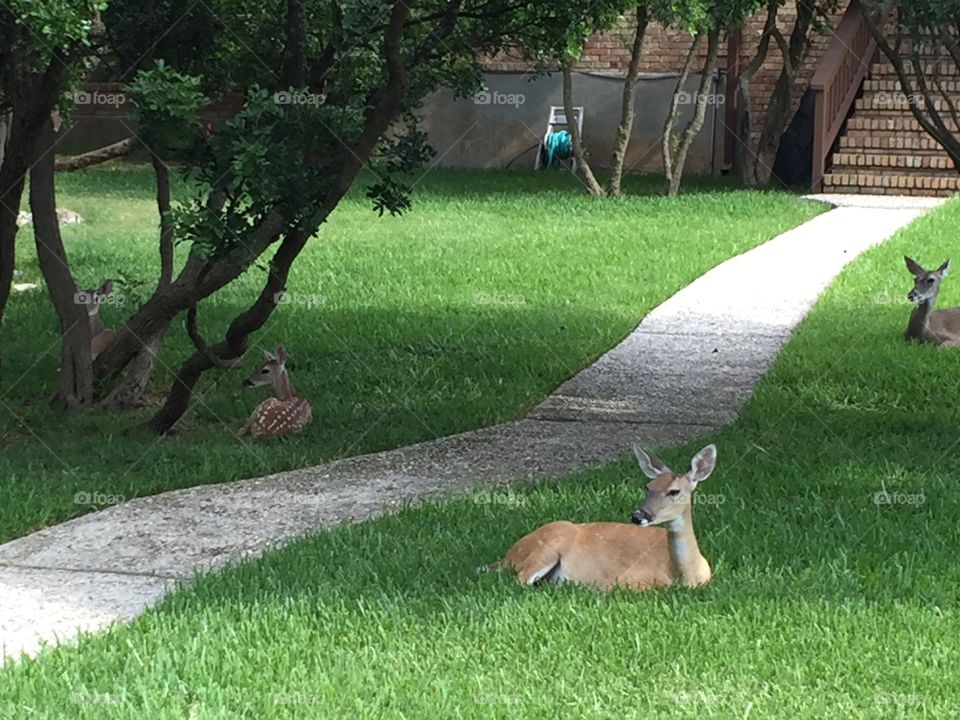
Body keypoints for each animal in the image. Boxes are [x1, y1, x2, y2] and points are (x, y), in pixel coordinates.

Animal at [496, 444, 720, 592]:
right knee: (519, 581)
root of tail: (508, 556)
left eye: (674, 491)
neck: (686, 575)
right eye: (648, 487)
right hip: (548, 545)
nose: (638, 515)